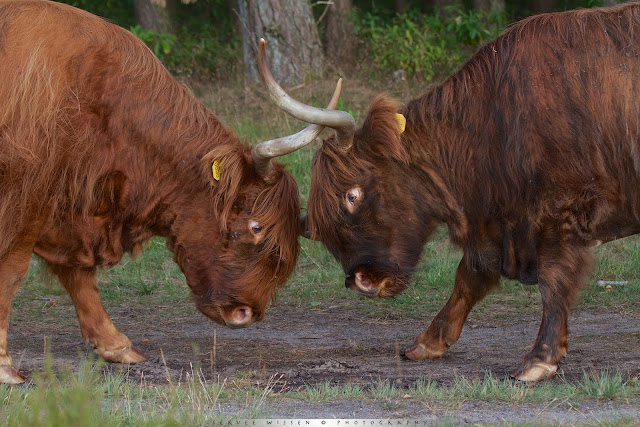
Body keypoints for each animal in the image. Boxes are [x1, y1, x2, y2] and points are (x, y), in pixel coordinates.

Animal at [0, 0, 340, 384]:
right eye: (255, 227)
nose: (246, 314)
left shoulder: (69, 208)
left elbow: (79, 277)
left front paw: (114, 344)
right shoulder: (26, 195)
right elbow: (12, 272)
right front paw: (4, 364)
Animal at [260, 3, 640, 382]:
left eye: (352, 195)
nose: (362, 282)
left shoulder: (560, 214)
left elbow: (554, 282)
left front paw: (539, 359)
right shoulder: (494, 229)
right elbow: (468, 277)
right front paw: (429, 342)